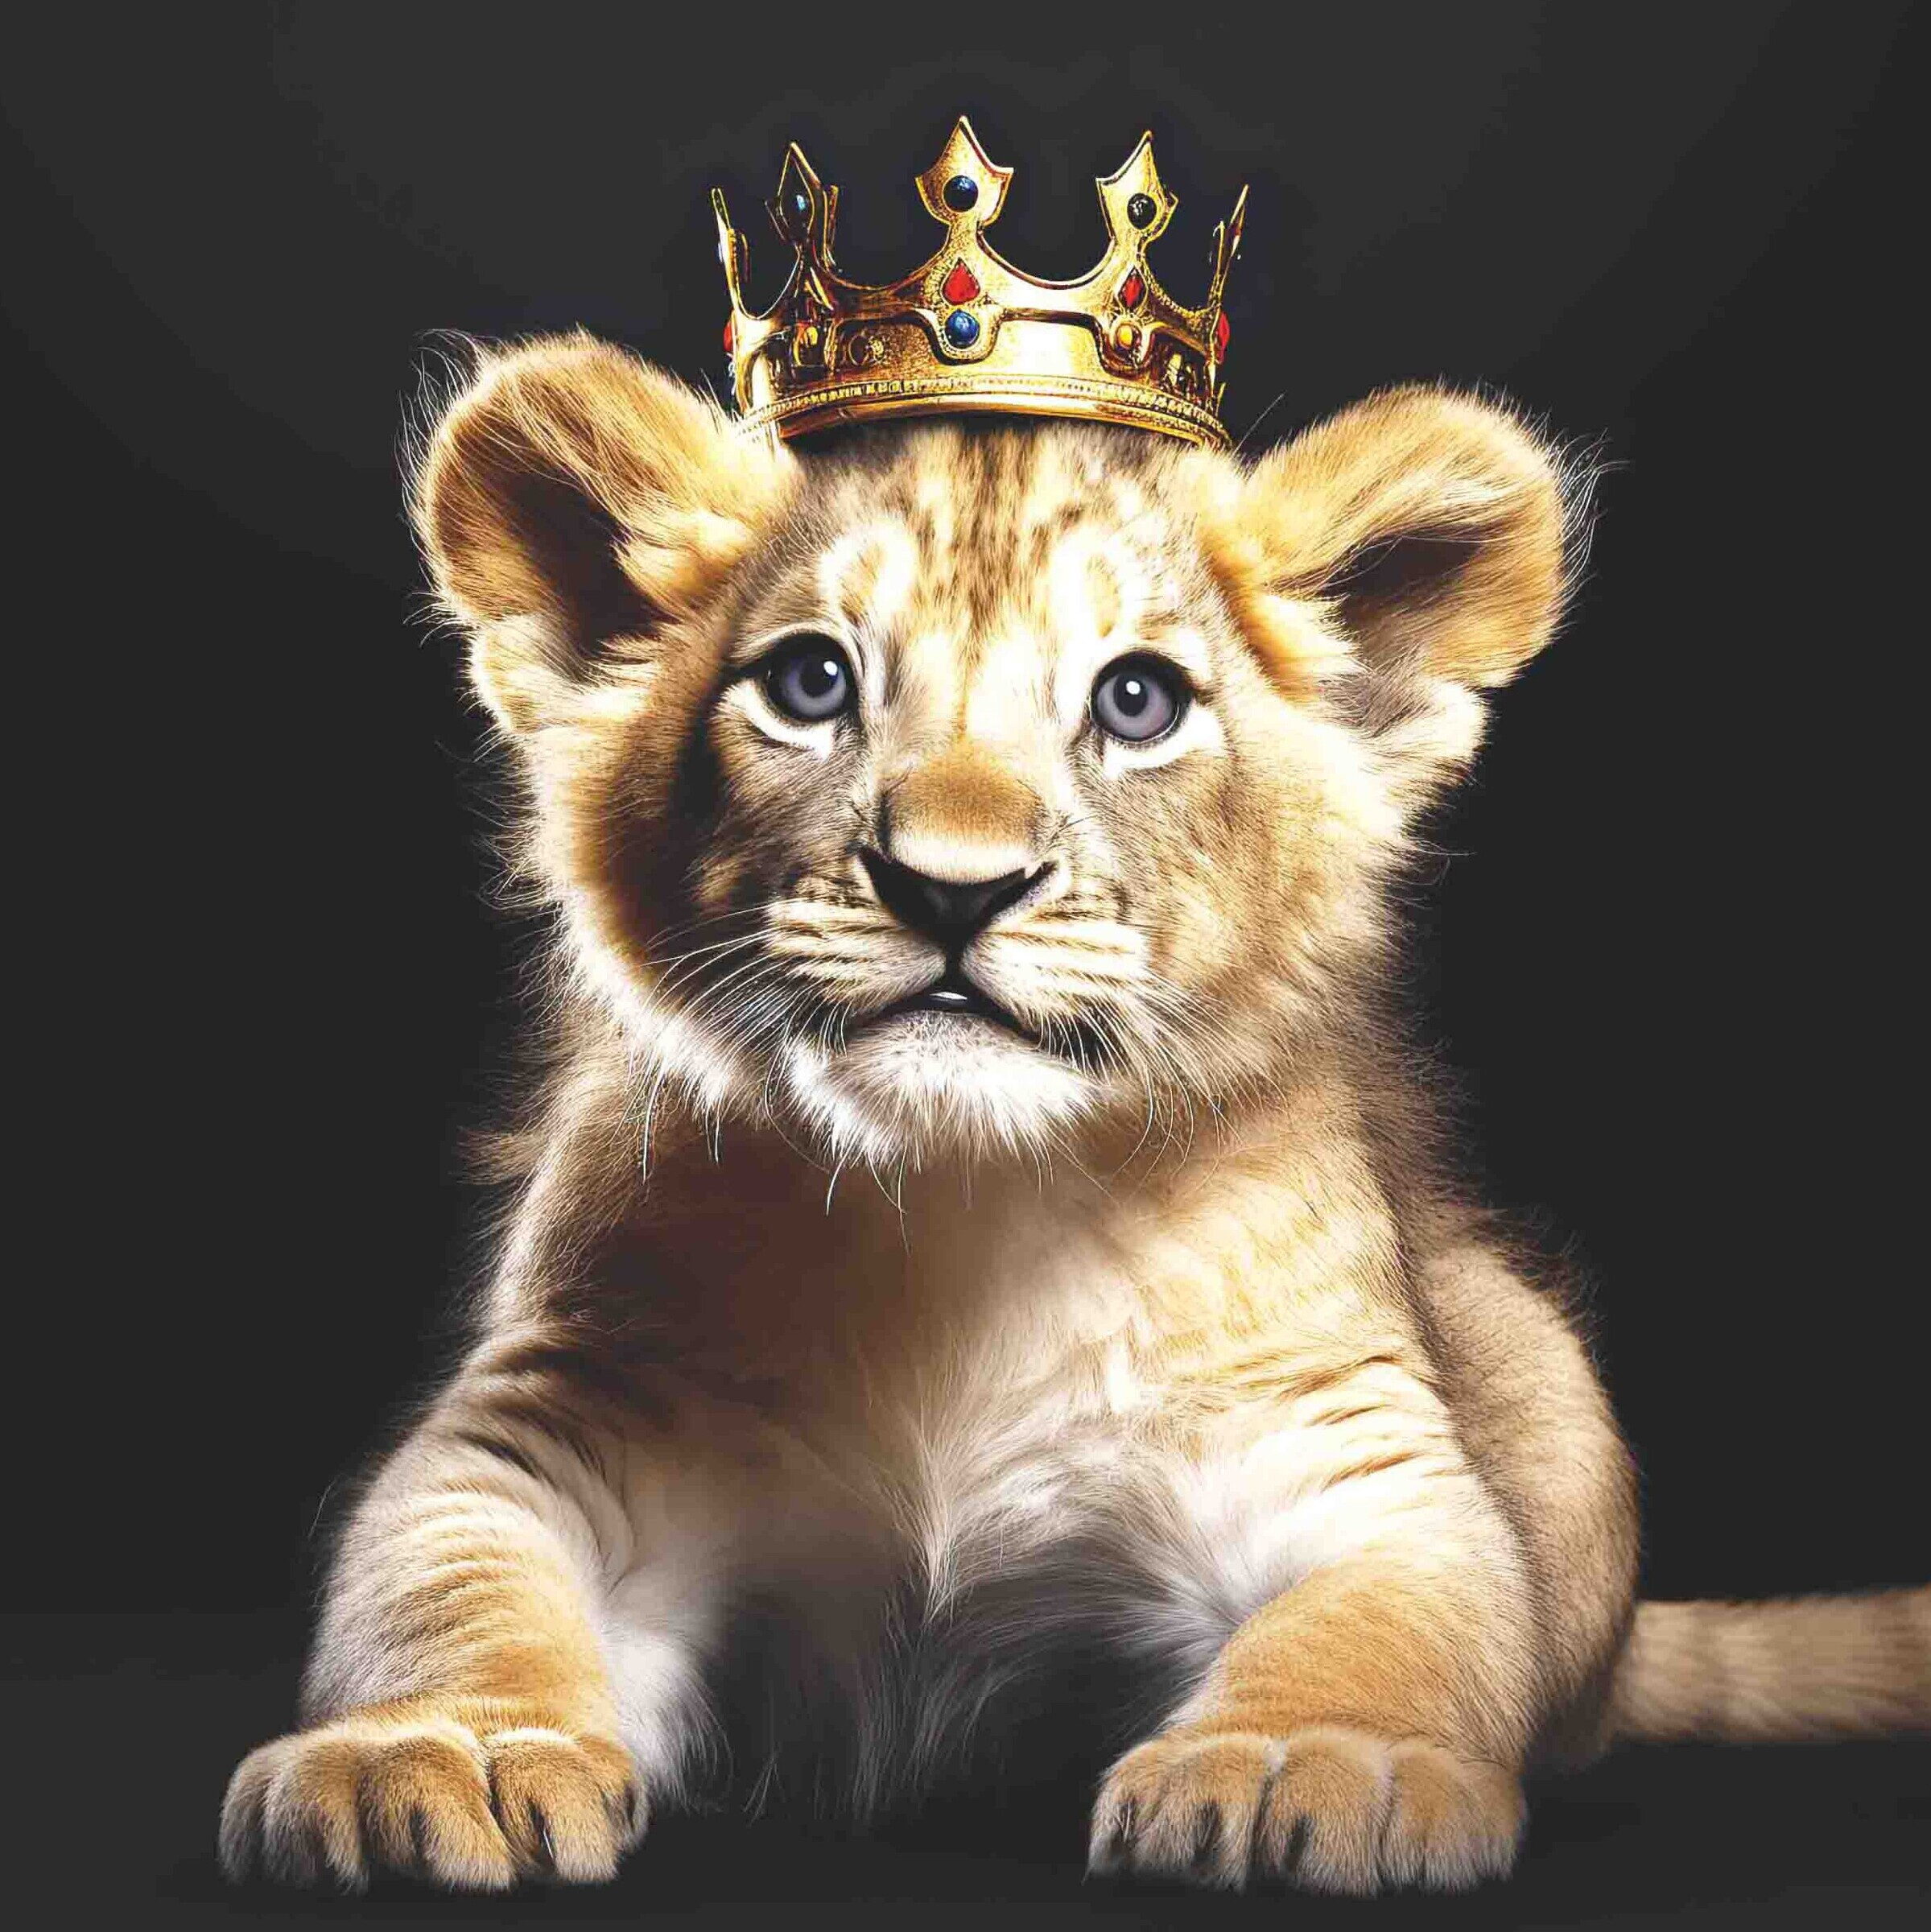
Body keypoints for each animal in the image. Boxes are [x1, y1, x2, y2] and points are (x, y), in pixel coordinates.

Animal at [219, 334, 1929, 1894]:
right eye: (809, 682)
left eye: (1136, 700)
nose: (951, 889)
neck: (953, 1205)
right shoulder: (557, 1428)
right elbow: (450, 1585)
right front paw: (435, 1756)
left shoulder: (1348, 1456)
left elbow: (1376, 1621)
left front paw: (1305, 1767)